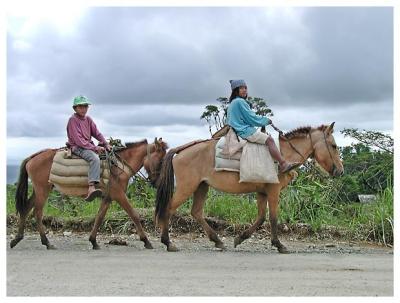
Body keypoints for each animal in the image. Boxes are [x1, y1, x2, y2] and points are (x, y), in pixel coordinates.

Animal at [10, 139, 167, 251]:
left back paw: (17, 239)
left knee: (26, 208)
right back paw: (46, 242)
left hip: (39, 190)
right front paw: (146, 241)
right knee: (37, 213)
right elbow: (134, 215)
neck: (118, 166)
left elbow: (99, 217)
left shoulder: (108, 197)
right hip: (42, 189)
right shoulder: (119, 195)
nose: (158, 183)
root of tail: (32, 157)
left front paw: (93, 241)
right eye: (160, 161)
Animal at [155, 123, 342, 254]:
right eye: (333, 146)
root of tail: (181, 150)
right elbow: (273, 218)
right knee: (169, 208)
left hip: (201, 186)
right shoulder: (273, 191)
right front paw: (279, 244)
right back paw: (167, 242)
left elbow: (261, 218)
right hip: (187, 187)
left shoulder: (262, 192)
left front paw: (240, 238)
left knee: (196, 212)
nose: (341, 171)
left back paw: (217, 241)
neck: (284, 156)